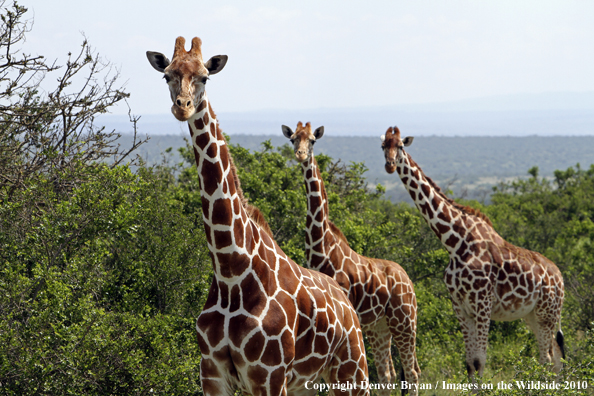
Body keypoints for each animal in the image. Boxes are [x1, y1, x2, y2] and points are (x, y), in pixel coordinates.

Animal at [145, 37, 368, 396]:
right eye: (168, 75)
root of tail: (345, 301)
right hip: (308, 383)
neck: (232, 271)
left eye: (205, 77)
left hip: (352, 368)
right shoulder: (212, 373)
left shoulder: (269, 375)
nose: (183, 106)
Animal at [284, 122, 418, 394]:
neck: (323, 248)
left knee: (412, 372)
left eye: (312, 140)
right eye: (293, 139)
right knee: (387, 375)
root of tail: (409, 281)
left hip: (404, 322)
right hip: (380, 327)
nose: (301, 155)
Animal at [380, 126, 564, 378]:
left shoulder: (482, 305)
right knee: (555, 358)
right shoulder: (460, 306)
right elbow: (469, 363)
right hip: (533, 315)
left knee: (547, 358)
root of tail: (561, 278)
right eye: (383, 146)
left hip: (547, 314)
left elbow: (480, 361)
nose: (389, 165)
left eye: (400, 146)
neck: (455, 244)